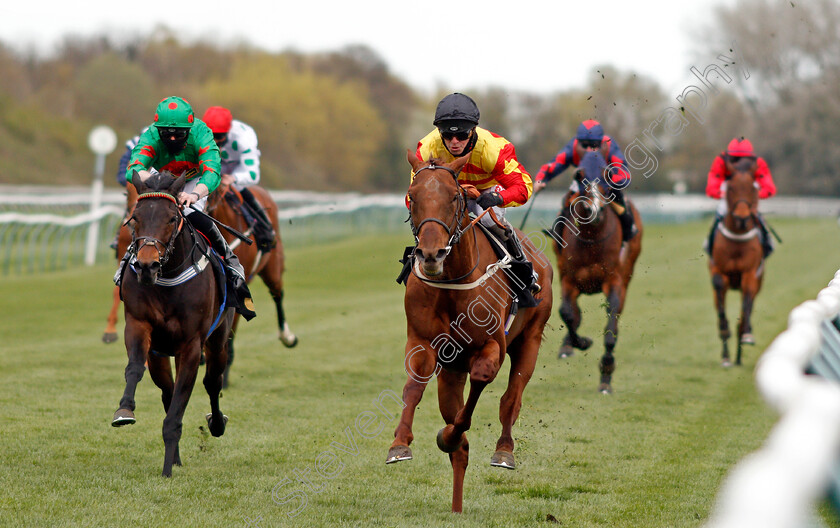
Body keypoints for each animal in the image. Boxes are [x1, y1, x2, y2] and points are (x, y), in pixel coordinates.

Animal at [110, 171, 233, 476]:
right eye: (135, 217)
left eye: (170, 218)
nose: (146, 266)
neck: (167, 278)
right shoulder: (139, 325)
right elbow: (134, 369)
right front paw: (124, 410)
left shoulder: (191, 345)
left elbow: (180, 405)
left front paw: (167, 470)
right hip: (160, 355)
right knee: (167, 391)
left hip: (218, 341)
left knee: (212, 381)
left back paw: (216, 424)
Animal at [388, 151, 556, 512]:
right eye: (413, 196)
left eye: (454, 197)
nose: (431, 253)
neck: (453, 281)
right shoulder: (424, 342)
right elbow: (413, 388)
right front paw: (400, 443)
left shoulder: (492, 345)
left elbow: (481, 381)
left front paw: (449, 435)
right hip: (452, 370)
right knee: (459, 445)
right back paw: (456, 505)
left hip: (530, 339)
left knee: (511, 399)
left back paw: (504, 450)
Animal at [552, 151, 644, 394]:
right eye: (582, 182)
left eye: (604, 182)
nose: (594, 211)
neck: (592, 239)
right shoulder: (569, 279)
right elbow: (567, 313)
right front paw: (580, 342)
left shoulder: (614, 282)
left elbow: (611, 329)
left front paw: (606, 374)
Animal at [704, 157, 764, 368]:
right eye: (730, 188)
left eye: (753, 188)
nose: (742, 217)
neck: (737, 238)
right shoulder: (718, 270)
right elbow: (718, 286)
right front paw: (726, 348)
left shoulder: (750, 274)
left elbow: (745, 310)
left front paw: (745, 334)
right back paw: (729, 356)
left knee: (748, 309)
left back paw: (740, 351)